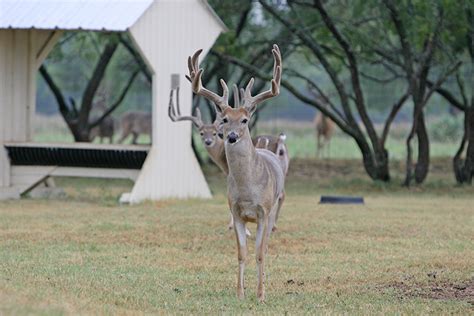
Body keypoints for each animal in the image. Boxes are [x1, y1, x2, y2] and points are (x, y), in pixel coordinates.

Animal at [185, 43, 284, 302]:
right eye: (225, 119)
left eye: (245, 120)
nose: (230, 136)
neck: (248, 189)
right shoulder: (237, 211)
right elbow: (242, 253)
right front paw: (240, 293)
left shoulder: (263, 212)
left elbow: (259, 253)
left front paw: (260, 294)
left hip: (274, 208)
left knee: (266, 245)